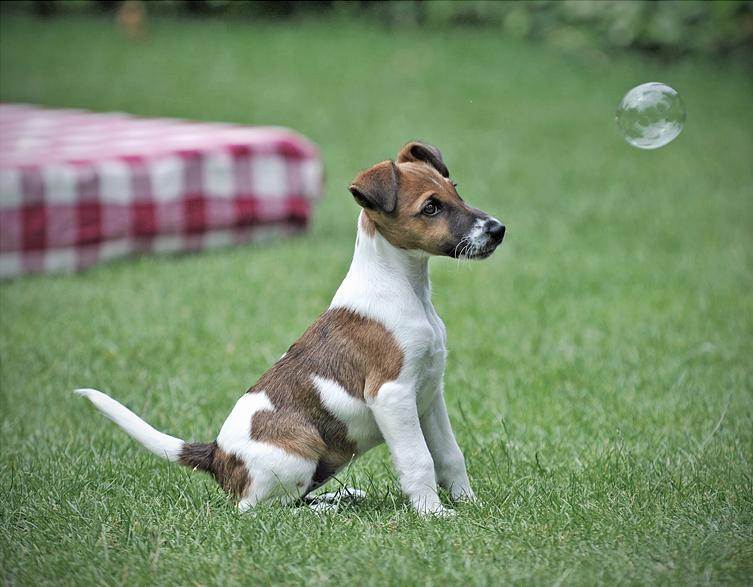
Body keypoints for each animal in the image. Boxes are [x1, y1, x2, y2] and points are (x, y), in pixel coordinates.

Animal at [78, 141, 506, 516]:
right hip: (298, 453)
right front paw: (434, 514)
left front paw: (469, 504)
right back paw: (327, 513)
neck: (405, 289)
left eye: (455, 191)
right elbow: (419, 460)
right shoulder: (392, 395)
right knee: (261, 511)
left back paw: (340, 499)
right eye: (431, 207)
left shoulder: (430, 394)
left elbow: (449, 455)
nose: (498, 229)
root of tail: (217, 453)